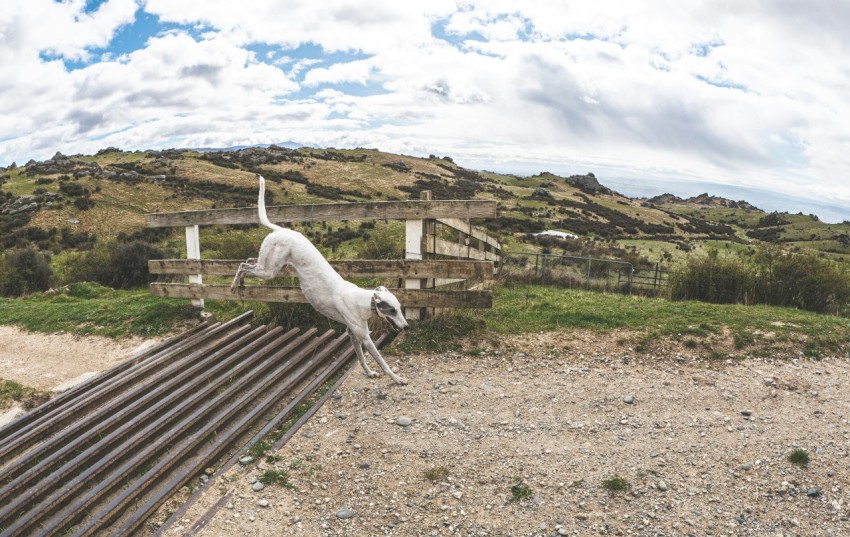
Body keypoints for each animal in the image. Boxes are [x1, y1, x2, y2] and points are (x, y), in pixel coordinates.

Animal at [229, 175, 408, 382]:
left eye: (400, 308)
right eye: (392, 310)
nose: (407, 326)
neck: (363, 300)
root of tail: (282, 229)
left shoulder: (352, 333)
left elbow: (361, 357)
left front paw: (369, 372)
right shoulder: (364, 336)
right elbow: (380, 360)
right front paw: (396, 378)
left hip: (269, 264)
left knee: (248, 261)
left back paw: (241, 281)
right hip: (269, 270)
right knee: (242, 266)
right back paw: (234, 284)